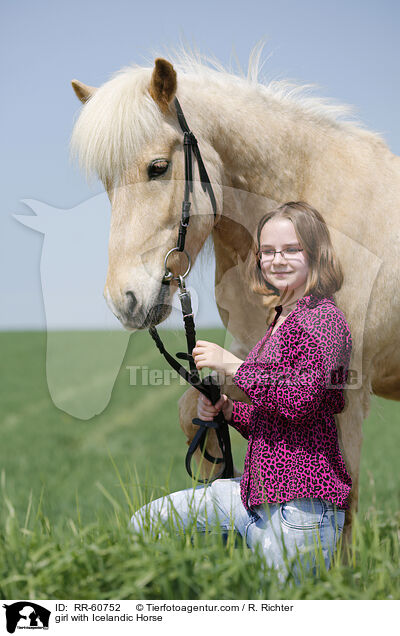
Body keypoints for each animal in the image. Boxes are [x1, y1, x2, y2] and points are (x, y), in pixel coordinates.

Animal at [69, 47, 400, 540]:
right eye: (108, 183)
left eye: (158, 168)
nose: (123, 299)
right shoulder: (246, 352)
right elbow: (197, 416)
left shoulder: (347, 390)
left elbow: (347, 497)